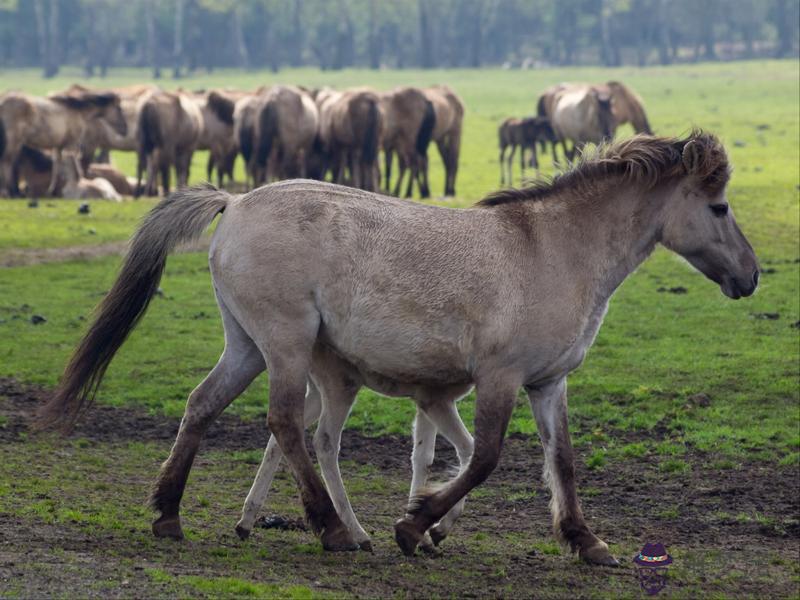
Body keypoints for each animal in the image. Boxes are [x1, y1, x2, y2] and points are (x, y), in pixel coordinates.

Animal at [40, 132, 760, 568]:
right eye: (720, 207)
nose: (750, 276)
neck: (553, 250)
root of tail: (235, 201)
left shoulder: (548, 384)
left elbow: (562, 463)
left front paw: (586, 541)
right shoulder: (499, 378)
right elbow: (484, 458)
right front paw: (416, 525)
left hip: (246, 345)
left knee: (201, 405)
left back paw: (168, 515)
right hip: (287, 346)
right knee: (287, 425)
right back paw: (332, 529)